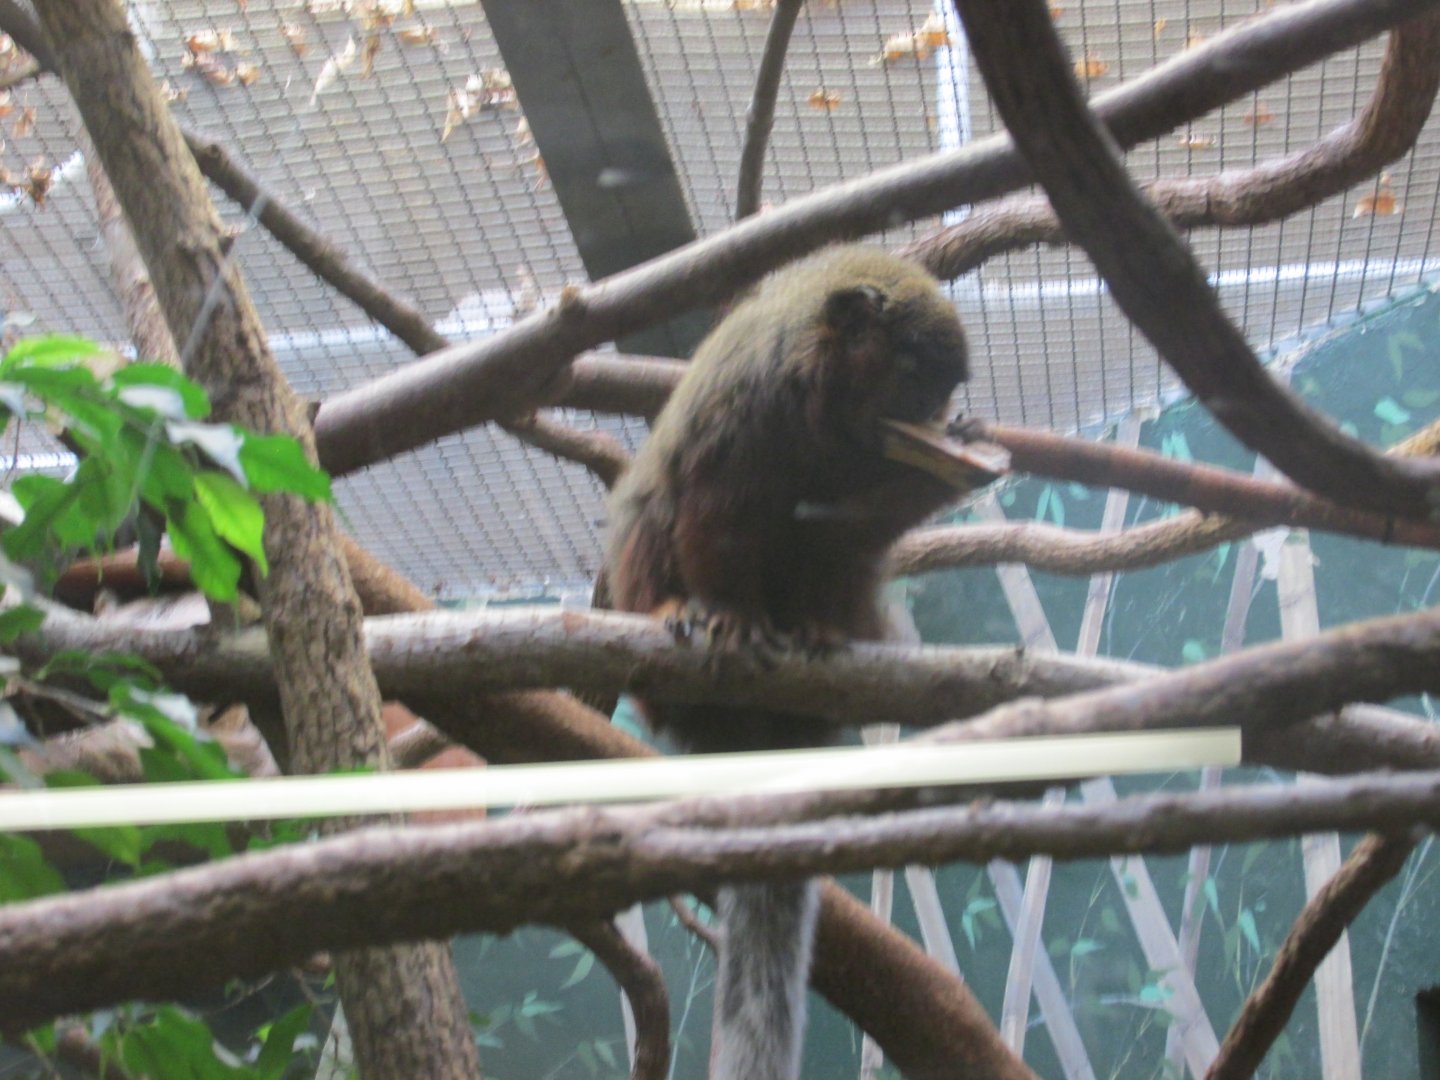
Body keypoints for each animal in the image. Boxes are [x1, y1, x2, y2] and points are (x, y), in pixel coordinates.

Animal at [604, 245, 969, 1080]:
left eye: (940, 391)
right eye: (911, 374)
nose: (931, 413)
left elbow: (847, 535)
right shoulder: (749, 404)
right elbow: (713, 511)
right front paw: (727, 615)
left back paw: (828, 635)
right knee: (656, 504)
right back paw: (675, 618)